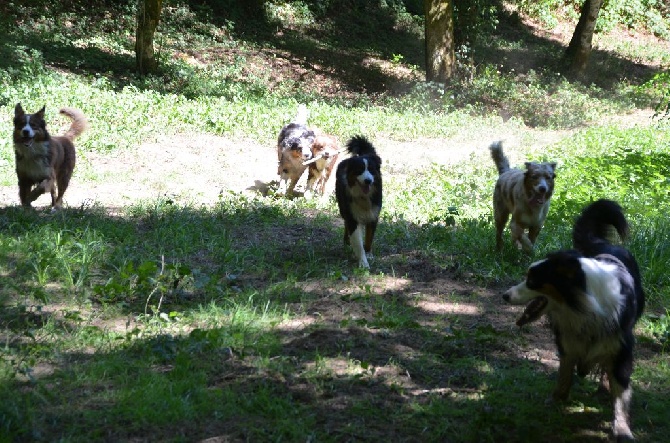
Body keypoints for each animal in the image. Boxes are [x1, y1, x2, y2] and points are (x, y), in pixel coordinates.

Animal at [336, 135, 384, 268]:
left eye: (371, 170)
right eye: (359, 170)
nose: (368, 181)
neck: (363, 197)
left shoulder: (373, 216)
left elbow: (368, 239)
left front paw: (369, 254)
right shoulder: (352, 217)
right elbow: (358, 243)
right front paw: (363, 263)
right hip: (343, 208)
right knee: (346, 225)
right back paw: (346, 242)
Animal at [504, 199, 644, 442]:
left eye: (532, 281)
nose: (505, 295)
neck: (584, 308)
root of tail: (602, 244)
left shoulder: (621, 348)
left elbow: (621, 392)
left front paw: (622, 429)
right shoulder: (568, 341)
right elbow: (565, 374)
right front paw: (556, 399)